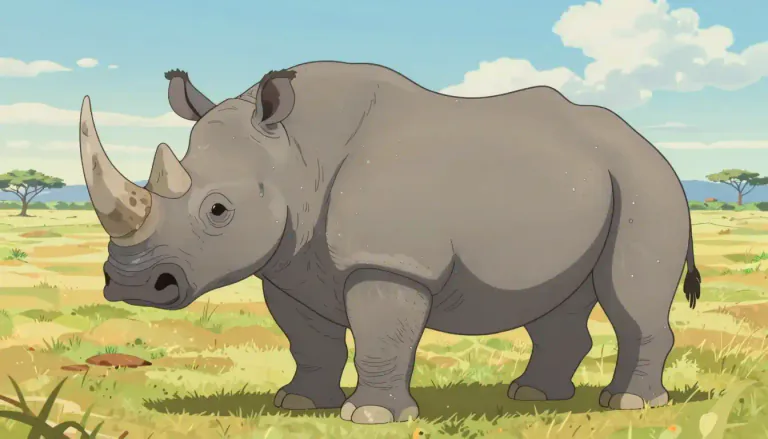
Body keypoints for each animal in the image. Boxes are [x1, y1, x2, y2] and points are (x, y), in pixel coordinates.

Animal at [79, 61, 701, 425]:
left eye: (217, 210)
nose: (133, 284)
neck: (295, 153)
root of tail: (648, 144)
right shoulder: (290, 264)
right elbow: (310, 340)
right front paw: (300, 403)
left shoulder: (389, 261)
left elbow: (381, 335)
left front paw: (371, 418)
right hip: (589, 184)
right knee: (556, 303)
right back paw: (534, 398)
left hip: (648, 185)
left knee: (629, 297)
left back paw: (629, 405)